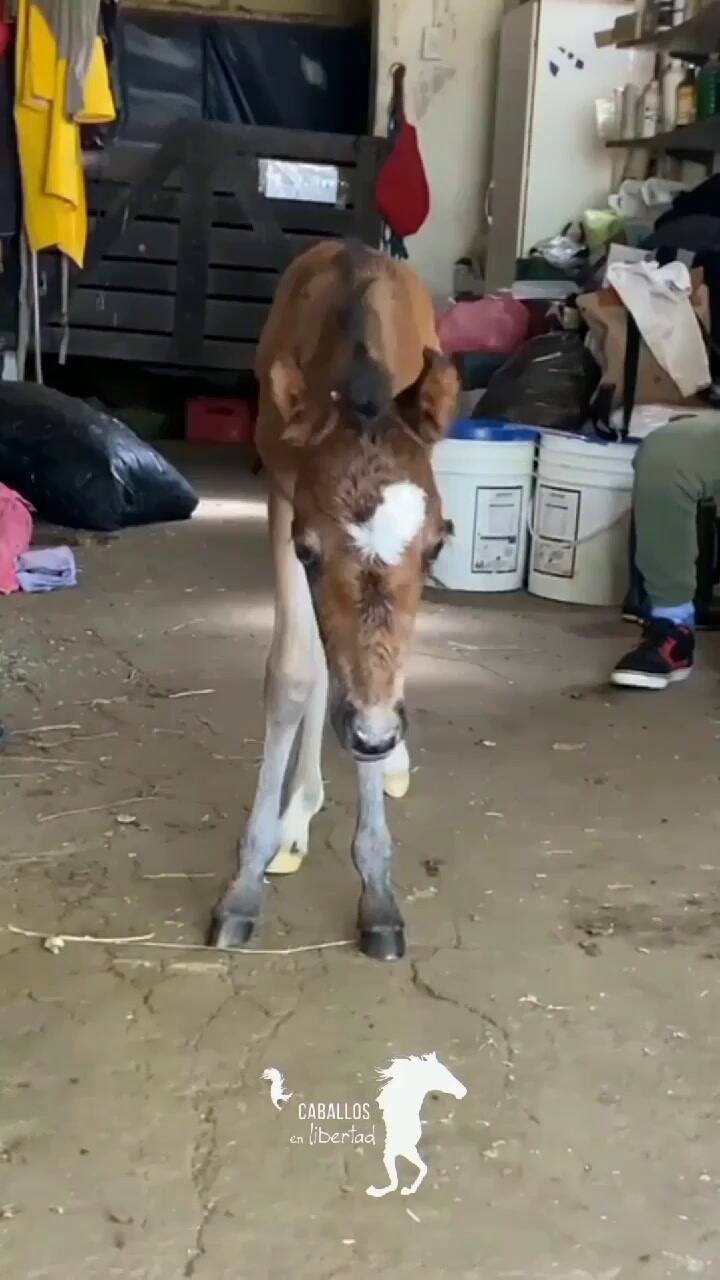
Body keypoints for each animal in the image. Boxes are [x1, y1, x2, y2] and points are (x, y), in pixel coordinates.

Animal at [210, 240, 459, 960]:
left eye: (438, 545)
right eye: (309, 549)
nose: (373, 736)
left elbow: (379, 665)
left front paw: (377, 894)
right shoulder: (284, 500)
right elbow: (295, 672)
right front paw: (244, 886)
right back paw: (297, 816)